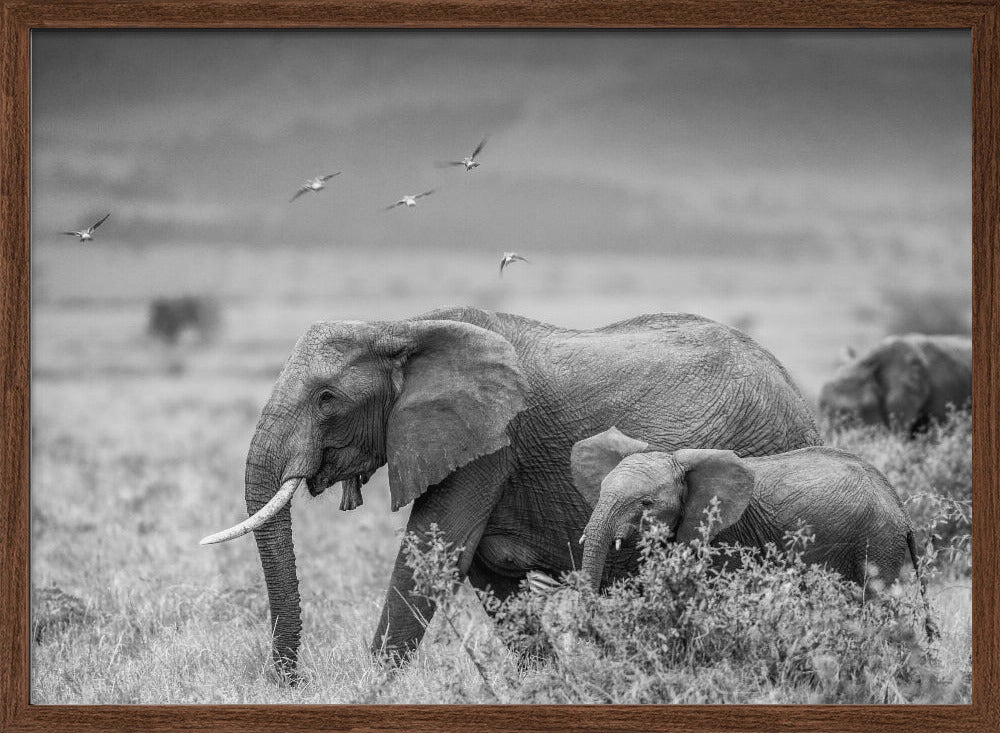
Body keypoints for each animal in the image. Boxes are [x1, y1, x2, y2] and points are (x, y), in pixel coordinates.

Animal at [200, 306, 821, 678]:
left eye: (327, 399)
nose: (286, 681)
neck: (403, 328)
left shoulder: (490, 442)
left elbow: (434, 551)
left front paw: (369, 687)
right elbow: (487, 569)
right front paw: (548, 684)